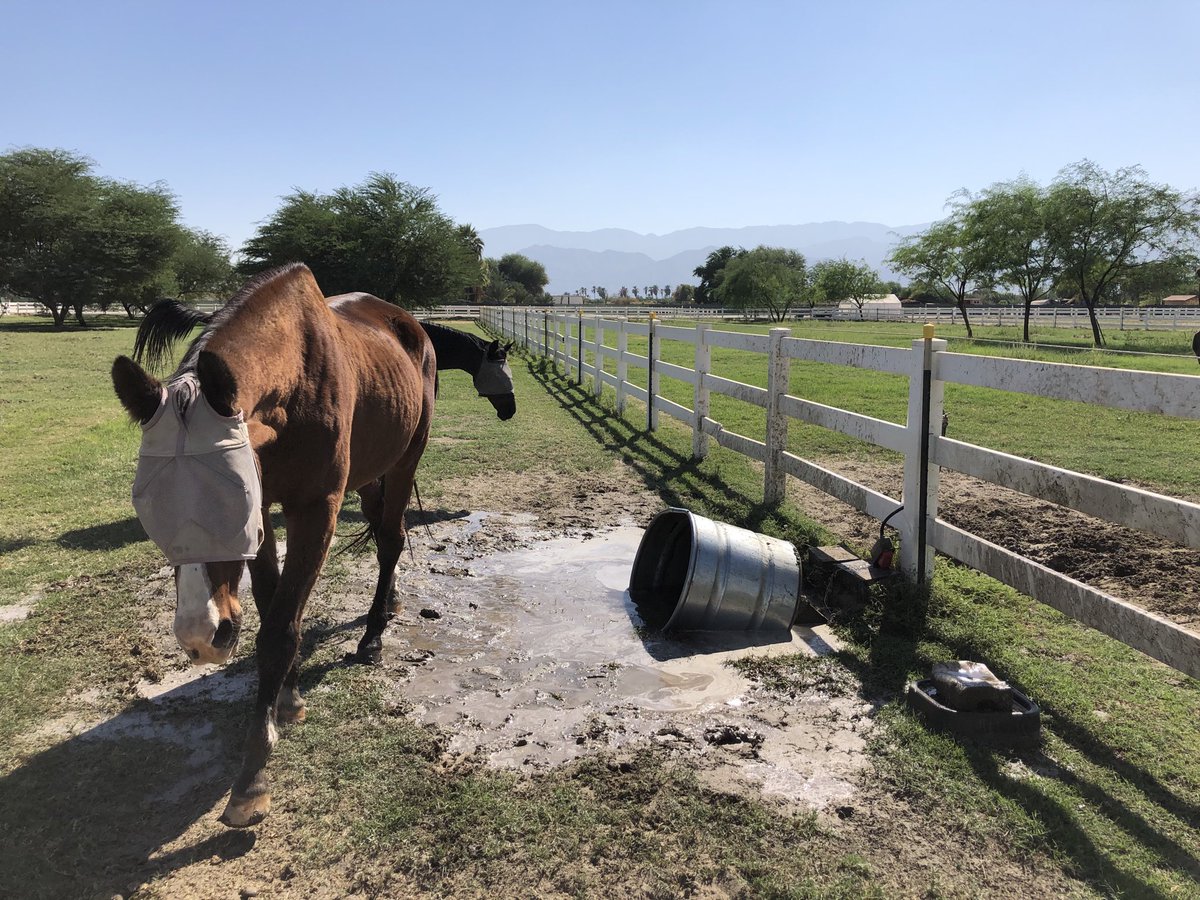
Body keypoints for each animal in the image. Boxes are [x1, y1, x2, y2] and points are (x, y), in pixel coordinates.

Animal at [111, 264, 436, 830]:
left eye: (230, 499)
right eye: (149, 504)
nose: (201, 636)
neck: (296, 384)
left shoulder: (315, 509)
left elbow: (280, 628)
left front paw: (251, 778)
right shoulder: (267, 507)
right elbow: (270, 604)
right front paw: (286, 694)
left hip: (404, 461)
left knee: (392, 540)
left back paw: (373, 635)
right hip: (372, 472)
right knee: (383, 536)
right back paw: (390, 602)